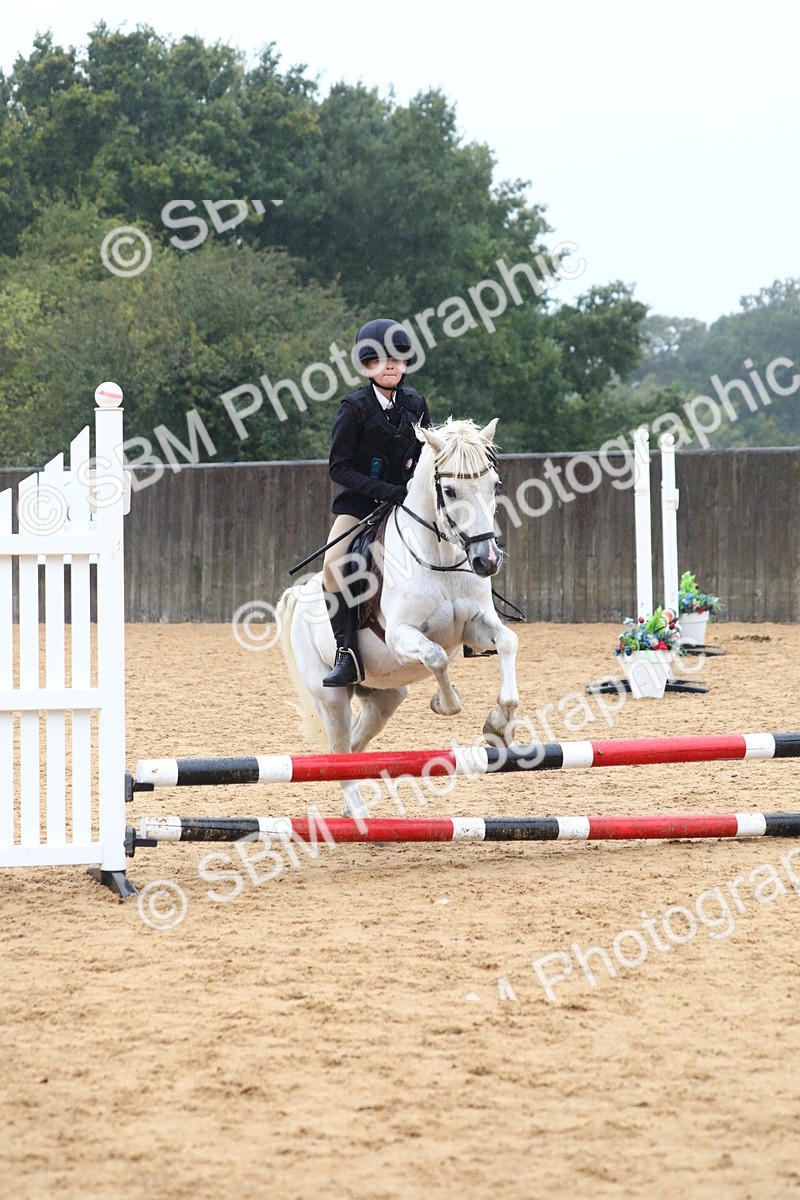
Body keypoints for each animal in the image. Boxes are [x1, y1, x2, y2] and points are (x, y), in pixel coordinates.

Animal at [277, 417, 520, 815]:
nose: (487, 560)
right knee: (340, 751)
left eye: (494, 484)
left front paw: (499, 726)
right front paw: (444, 703)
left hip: (383, 696)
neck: (439, 558)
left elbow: (508, 642)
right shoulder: (403, 635)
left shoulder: (475, 627)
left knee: (355, 746)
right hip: (331, 697)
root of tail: (299, 595)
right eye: (449, 490)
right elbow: (436, 658)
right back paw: (359, 814)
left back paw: (351, 808)